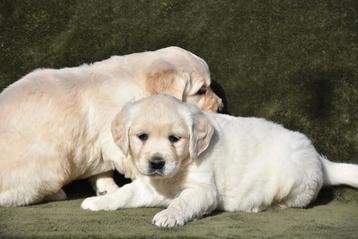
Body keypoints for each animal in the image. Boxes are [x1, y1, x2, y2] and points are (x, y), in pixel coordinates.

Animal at [0, 47, 222, 207]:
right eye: (201, 90)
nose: (220, 106)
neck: (138, 85)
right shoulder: (118, 139)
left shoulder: (98, 145)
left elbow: (102, 171)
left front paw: (107, 189)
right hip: (52, 164)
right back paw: (56, 193)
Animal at [82, 95, 358, 228]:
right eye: (142, 137)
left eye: (175, 139)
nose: (157, 163)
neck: (180, 168)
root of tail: (320, 161)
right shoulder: (149, 186)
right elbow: (125, 193)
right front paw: (100, 202)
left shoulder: (203, 190)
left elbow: (182, 202)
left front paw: (169, 216)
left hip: (292, 181)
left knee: (293, 202)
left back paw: (257, 206)